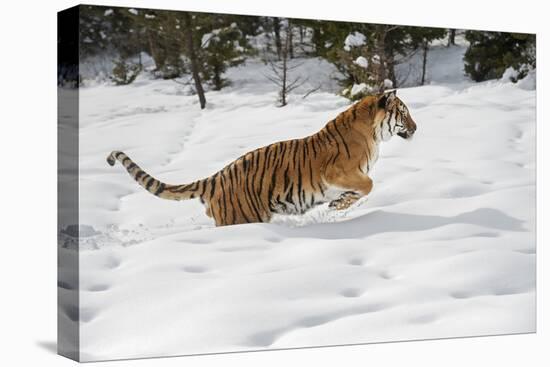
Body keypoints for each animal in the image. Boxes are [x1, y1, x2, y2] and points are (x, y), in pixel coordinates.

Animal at [106, 90, 418, 227]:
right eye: (404, 113)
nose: (416, 128)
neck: (374, 133)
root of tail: (217, 176)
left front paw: (337, 203)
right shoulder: (338, 173)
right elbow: (368, 185)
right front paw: (337, 205)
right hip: (240, 217)